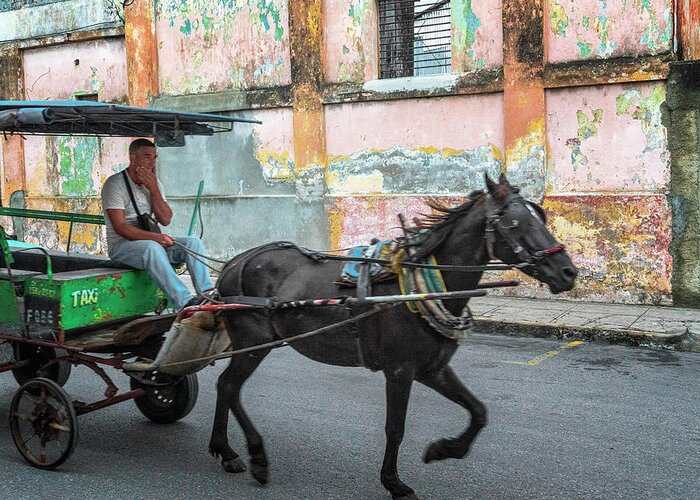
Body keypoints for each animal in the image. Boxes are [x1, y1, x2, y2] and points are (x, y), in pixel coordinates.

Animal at [209, 173, 580, 500]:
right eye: (515, 223)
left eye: (540, 216)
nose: (568, 272)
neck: (424, 286)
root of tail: (234, 263)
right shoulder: (400, 370)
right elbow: (395, 428)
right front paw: (393, 482)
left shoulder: (432, 369)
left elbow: (479, 411)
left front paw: (444, 449)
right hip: (253, 342)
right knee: (229, 386)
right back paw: (253, 456)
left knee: (226, 387)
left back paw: (225, 450)